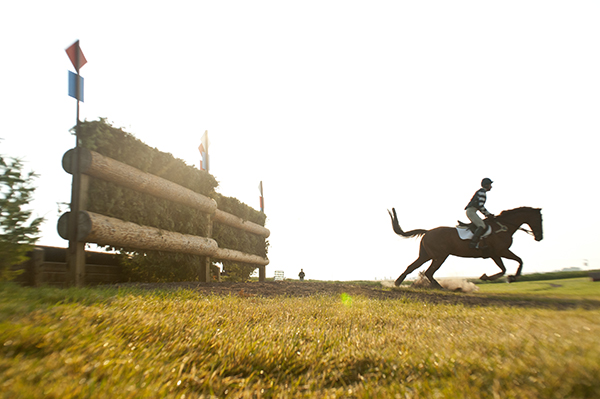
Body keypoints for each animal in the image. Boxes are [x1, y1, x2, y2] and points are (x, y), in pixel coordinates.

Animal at [390, 208, 544, 290]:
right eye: (540, 220)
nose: (539, 237)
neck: (503, 227)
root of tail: (427, 231)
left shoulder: (496, 254)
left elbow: (508, 266)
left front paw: (498, 277)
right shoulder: (500, 252)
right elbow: (516, 262)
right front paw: (508, 277)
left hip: (426, 255)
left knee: (413, 267)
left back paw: (397, 283)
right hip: (439, 256)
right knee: (429, 272)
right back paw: (442, 287)